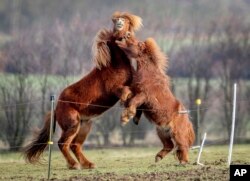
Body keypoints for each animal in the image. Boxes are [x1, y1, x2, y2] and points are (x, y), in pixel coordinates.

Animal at [23, 11, 143, 170]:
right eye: (118, 28)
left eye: (127, 24)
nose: (120, 22)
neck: (115, 66)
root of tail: (56, 108)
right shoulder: (114, 89)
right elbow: (126, 93)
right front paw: (127, 113)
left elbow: (136, 94)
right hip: (73, 125)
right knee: (63, 143)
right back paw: (74, 165)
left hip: (85, 125)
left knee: (75, 145)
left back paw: (88, 164)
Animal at [115, 35, 195, 164]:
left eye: (134, 42)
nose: (124, 36)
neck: (149, 74)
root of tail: (186, 118)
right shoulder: (137, 92)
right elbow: (129, 96)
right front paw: (130, 111)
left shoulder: (144, 95)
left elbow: (133, 102)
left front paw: (126, 117)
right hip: (162, 132)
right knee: (169, 145)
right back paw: (158, 157)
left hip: (177, 134)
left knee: (182, 146)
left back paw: (184, 162)